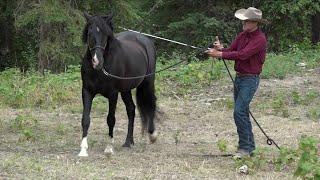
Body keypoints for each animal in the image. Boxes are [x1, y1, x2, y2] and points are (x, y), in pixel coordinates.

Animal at [78, 12, 157, 156]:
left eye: (105, 34)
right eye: (89, 33)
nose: (97, 61)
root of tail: (145, 40)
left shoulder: (113, 94)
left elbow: (111, 119)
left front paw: (109, 147)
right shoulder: (87, 91)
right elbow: (85, 119)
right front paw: (83, 150)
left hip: (147, 83)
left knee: (150, 104)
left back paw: (152, 135)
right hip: (125, 90)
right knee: (131, 109)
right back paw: (128, 142)